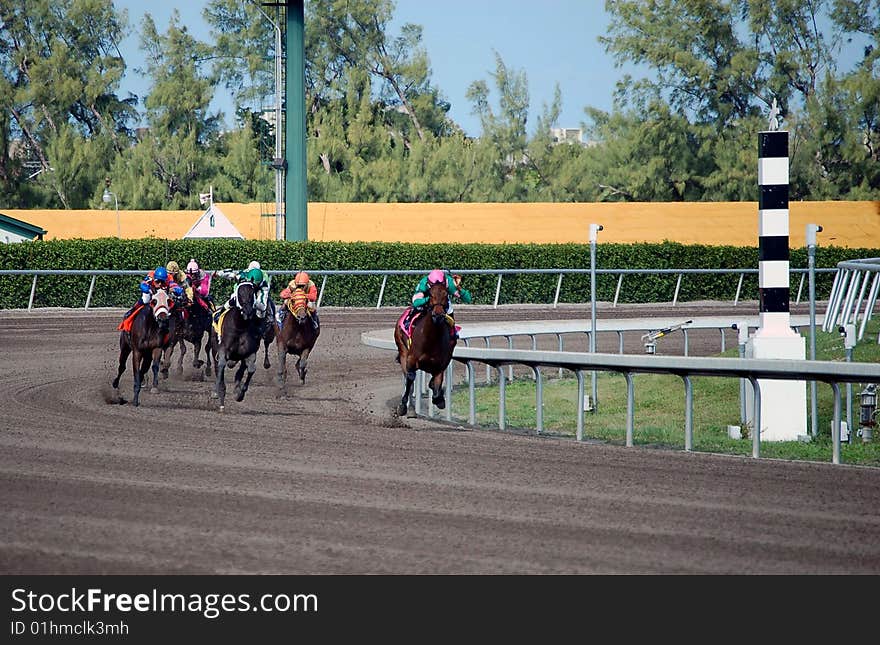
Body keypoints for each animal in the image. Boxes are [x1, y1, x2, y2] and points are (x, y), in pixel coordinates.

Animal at [396, 280, 458, 416]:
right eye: (430, 295)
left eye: (446, 294)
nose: (438, 315)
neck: (431, 339)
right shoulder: (411, 359)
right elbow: (410, 377)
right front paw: (402, 405)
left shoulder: (440, 365)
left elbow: (436, 383)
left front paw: (440, 399)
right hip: (402, 350)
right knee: (408, 376)